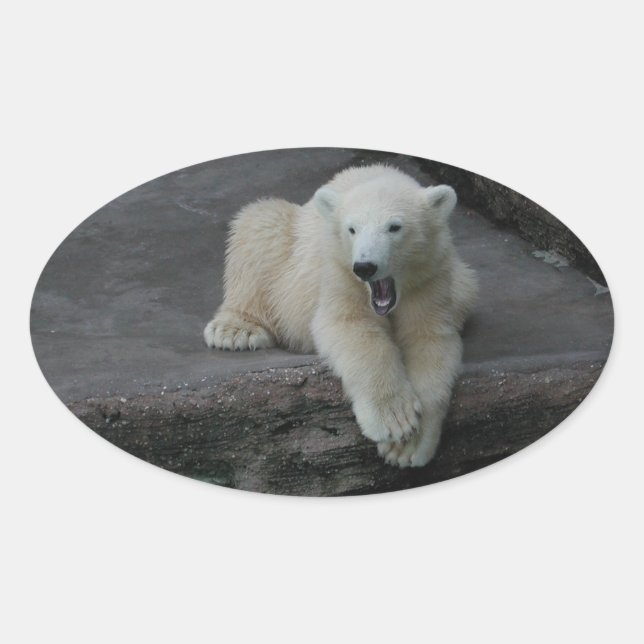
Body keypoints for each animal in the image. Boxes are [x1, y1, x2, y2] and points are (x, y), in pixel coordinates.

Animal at [204, 164, 477, 467]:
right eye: (352, 229)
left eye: (394, 227)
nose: (366, 267)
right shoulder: (339, 273)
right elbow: (351, 328)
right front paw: (393, 420)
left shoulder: (430, 278)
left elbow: (429, 339)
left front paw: (407, 447)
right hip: (287, 249)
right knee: (260, 225)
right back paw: (236, 331)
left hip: (462, 282)